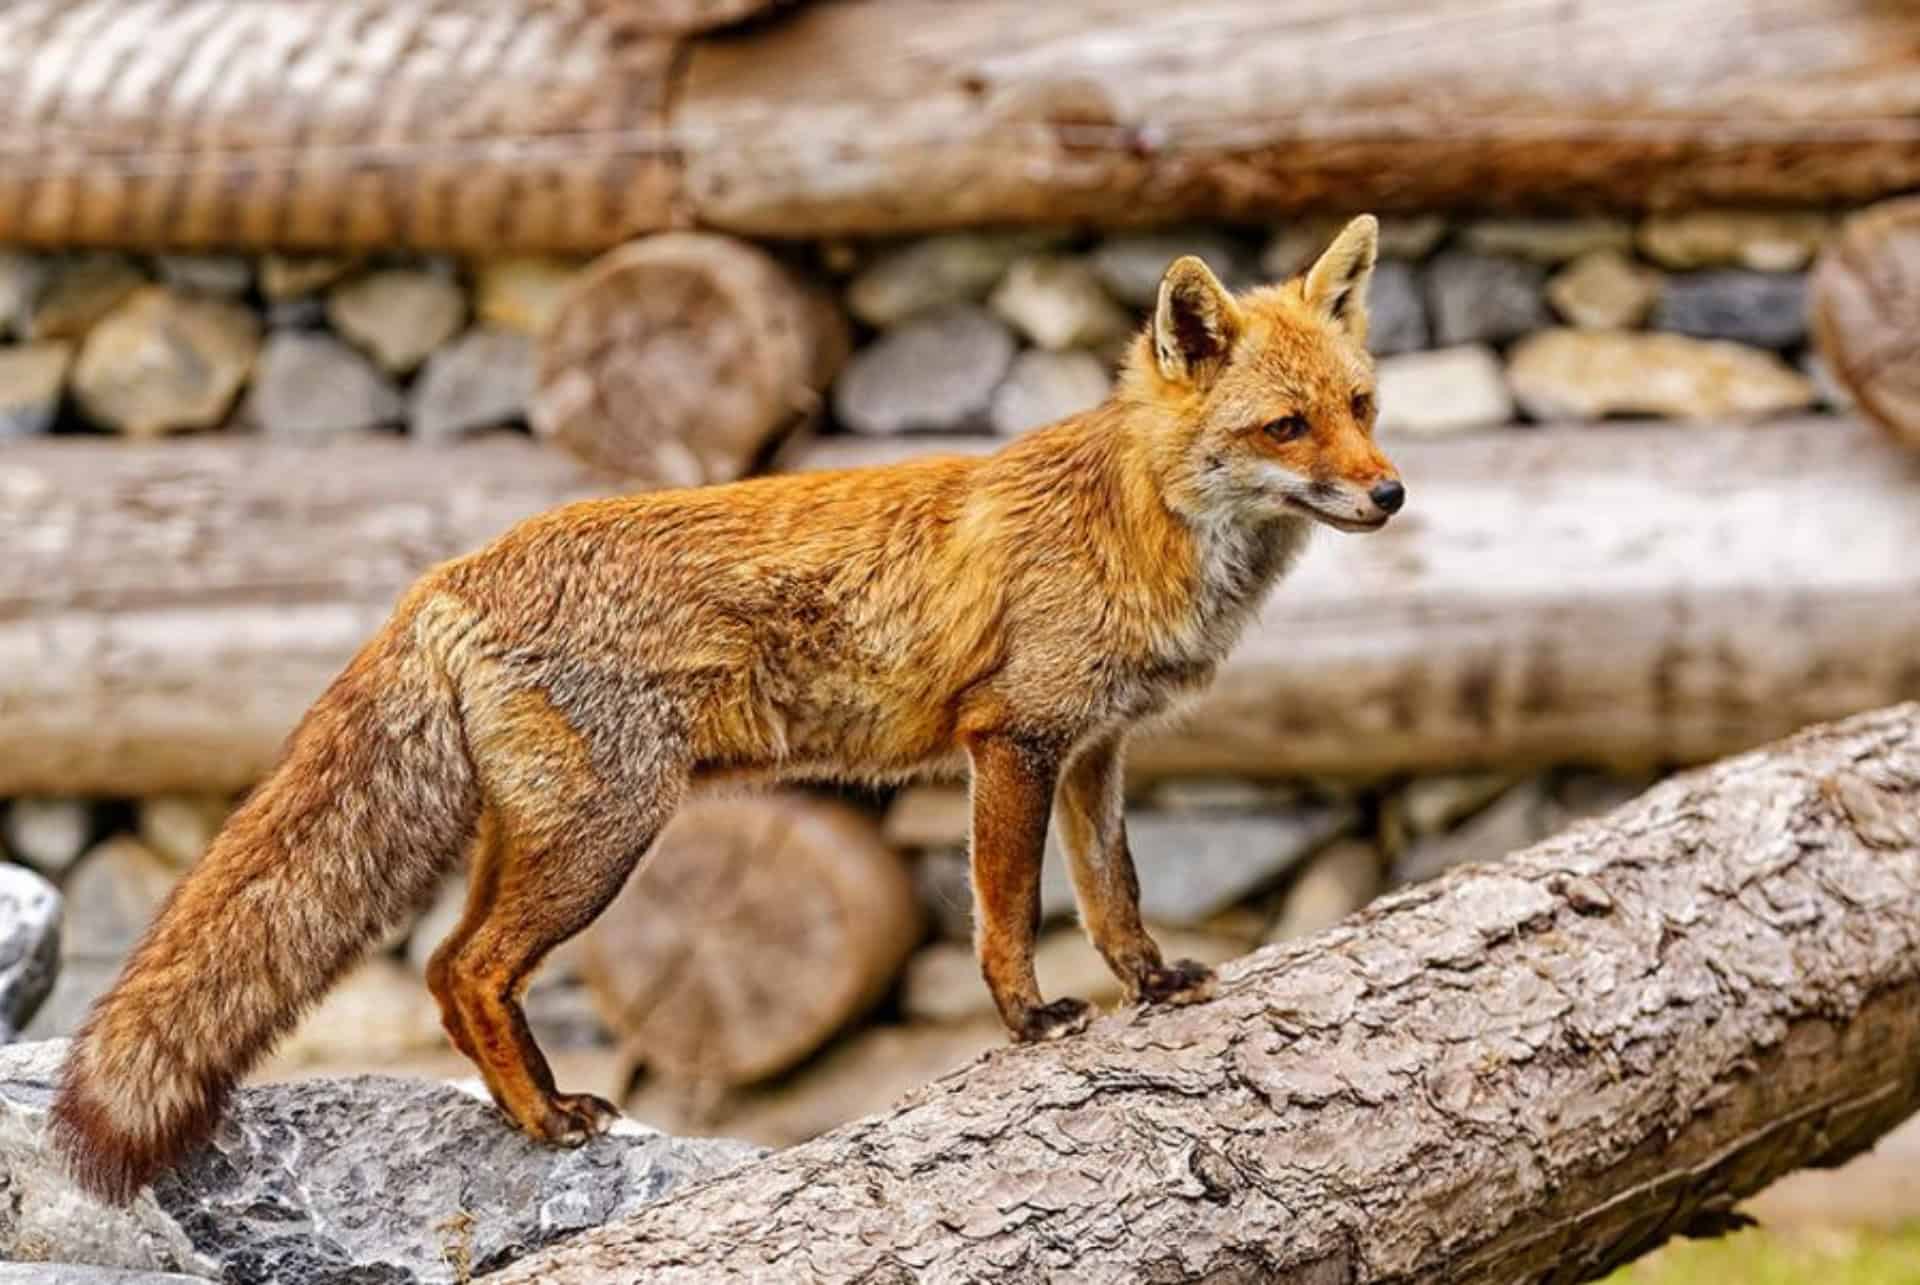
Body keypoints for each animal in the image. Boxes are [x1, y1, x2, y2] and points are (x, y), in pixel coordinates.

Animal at [52, 213, 1405, 1206]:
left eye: (1364, 407)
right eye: (1286, 426)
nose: (1392, 495)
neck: (1140, 523)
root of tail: (450, 570)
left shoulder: (1095, 748)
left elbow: (1115, 893)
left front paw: (1156, 983)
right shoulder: (1011, 740)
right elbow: (1011, 912)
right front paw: (1030, 1019)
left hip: (541, 838)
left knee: (440, 966)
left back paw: (528, 1111)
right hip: (603, 840)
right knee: (472, 968)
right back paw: (546, 1121)